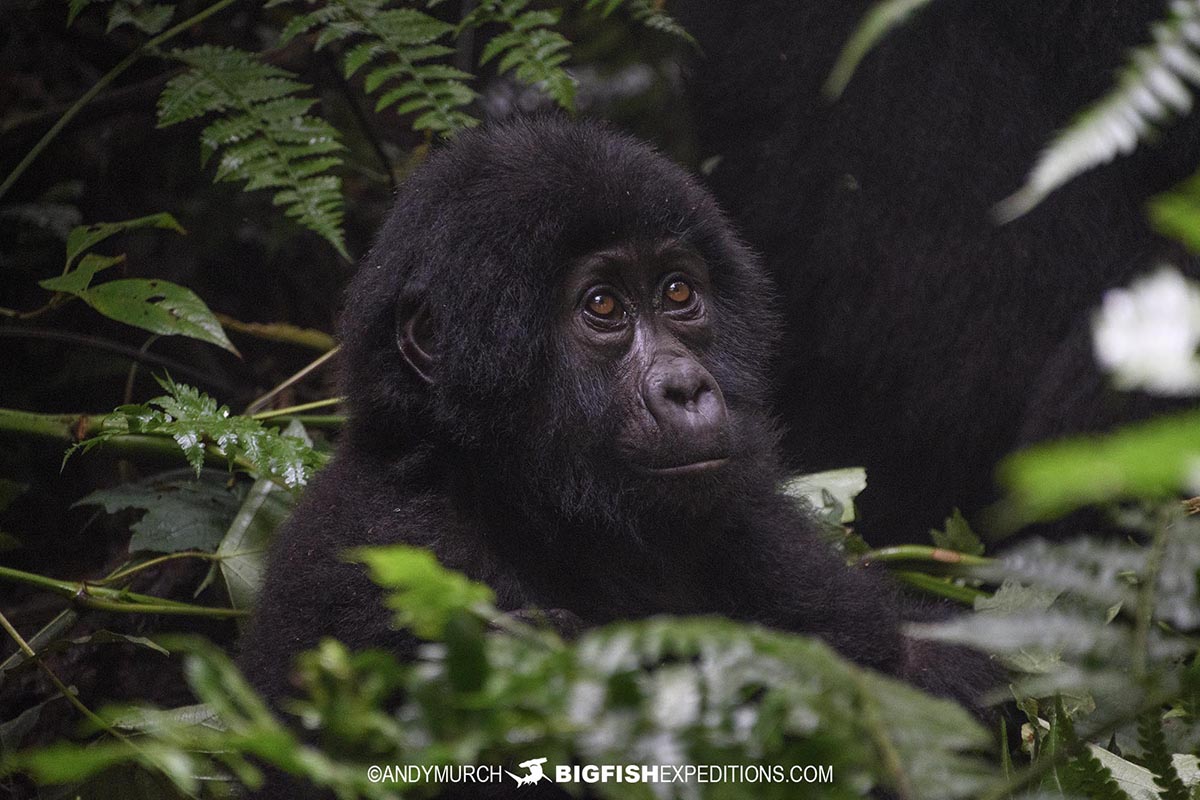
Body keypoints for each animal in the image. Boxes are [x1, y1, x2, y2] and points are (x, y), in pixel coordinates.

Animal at [236, 117, 984, 719]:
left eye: (678, 292)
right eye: (602, 305)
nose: (687, 388)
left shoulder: (756, 526)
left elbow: (915, 662)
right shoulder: (386, 563)